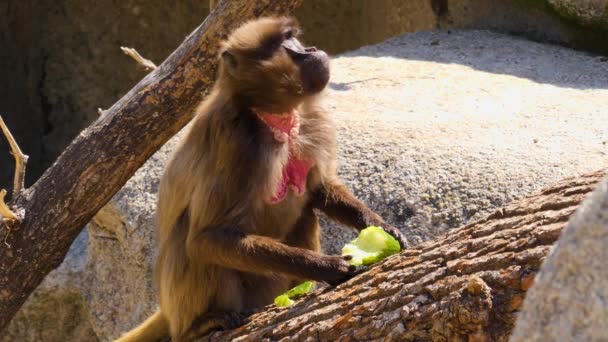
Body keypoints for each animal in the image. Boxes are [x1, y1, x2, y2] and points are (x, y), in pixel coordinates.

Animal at [116, 16, 406, 342]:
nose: (311, 50)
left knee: (304, 213)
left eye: (293, 37)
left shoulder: (310, 121)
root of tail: (169, 313)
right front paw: (328, 266)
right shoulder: (236, 144)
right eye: (284, 43)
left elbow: (318, 189)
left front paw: (380, 228)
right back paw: (199, 326)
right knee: (189, 237)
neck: (270, 116)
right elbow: (207, 237)